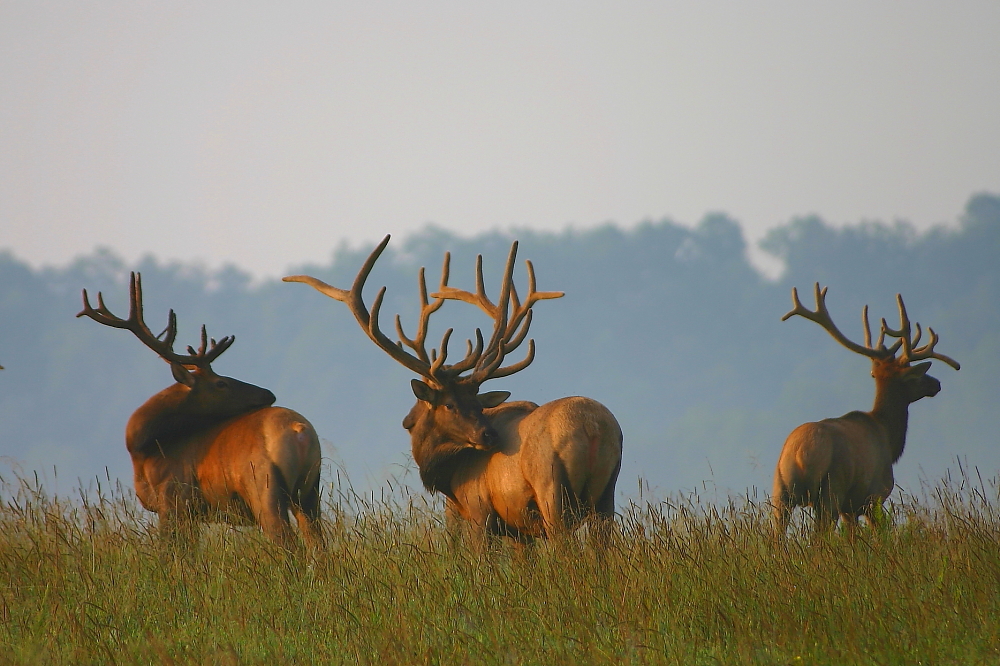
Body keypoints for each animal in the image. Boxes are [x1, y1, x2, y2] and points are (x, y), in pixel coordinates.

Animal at [77, 273, 323, 549]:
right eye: (221, 383)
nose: (268, 394)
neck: (145, 453)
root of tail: (299, 431)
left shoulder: (174, 499)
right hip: (309, 490)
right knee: (317, 541)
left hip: (264, 486)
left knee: (287, 542)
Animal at [284, 235, 623, 543]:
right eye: (452, 403)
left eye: (476, 404)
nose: (489, 436)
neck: (448, 475)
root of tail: (592, 426)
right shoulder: (518, 530)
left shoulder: (477, 510)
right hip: (607, 495)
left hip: (552, 490)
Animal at [772, 283, 960, 535]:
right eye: (914, 376)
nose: (936, 383)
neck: (890, 440)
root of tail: (801, 453)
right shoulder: (874, 495)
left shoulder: (850, 509)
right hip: (832, 488)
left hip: (780, 491)